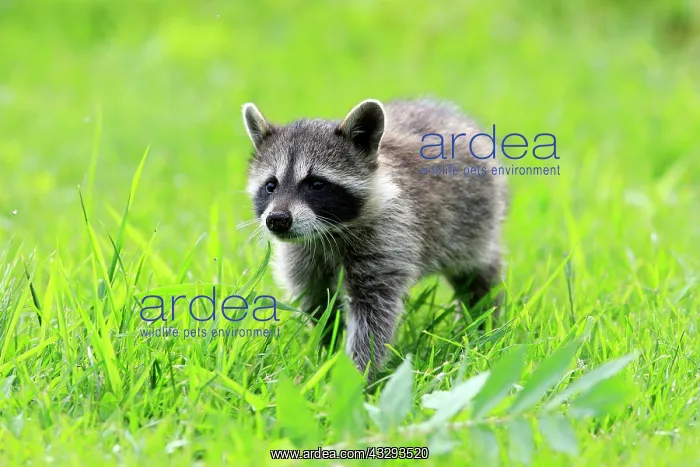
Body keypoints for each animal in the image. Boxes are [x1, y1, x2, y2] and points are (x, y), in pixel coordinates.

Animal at [241, 98, 508, 375]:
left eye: (316, 184)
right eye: (271, 186)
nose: (277, 220)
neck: (328, 232)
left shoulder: (389, 235)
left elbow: (372, 314)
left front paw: (357, 372)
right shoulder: (304, 253)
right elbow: (319, 300)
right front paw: (326, 350)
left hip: (475, 221)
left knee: (477, 273)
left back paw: (483, 318)